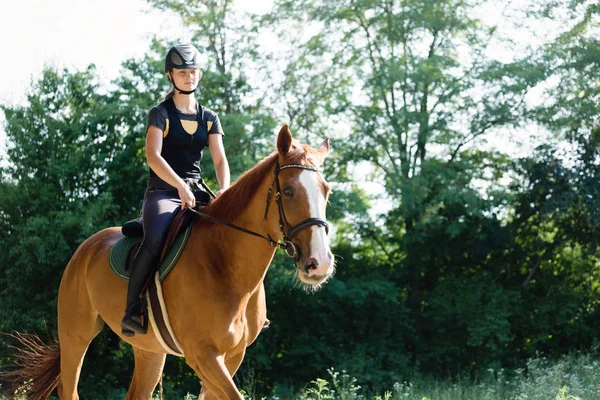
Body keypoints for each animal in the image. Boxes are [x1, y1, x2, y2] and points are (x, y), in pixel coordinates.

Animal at [3, 126, 332, 400]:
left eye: (326, 191)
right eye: (287, 191)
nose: (319, 263)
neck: (226, 264)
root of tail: (87, 247)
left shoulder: (232, 355)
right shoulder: (202, 354)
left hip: (148, 349)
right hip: (75, 335)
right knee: (69, 388)